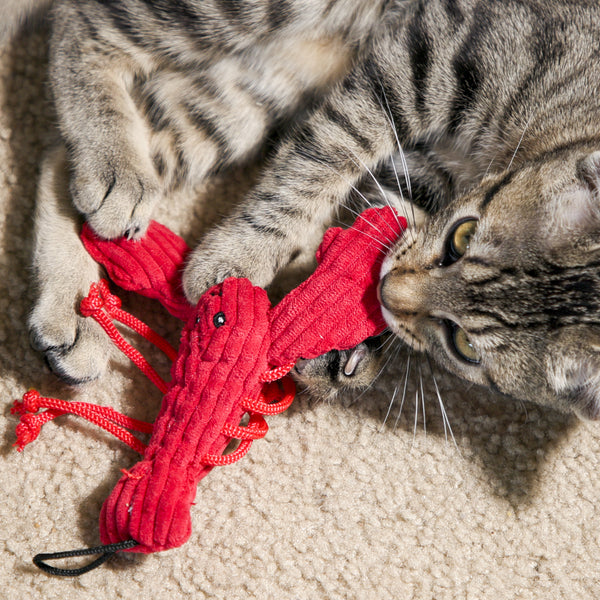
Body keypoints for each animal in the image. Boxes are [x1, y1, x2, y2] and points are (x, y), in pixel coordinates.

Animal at [7, 0, 600, 420]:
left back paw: (75, 304)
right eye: (462, 236)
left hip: (250, 94)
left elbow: (382, 222)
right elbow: (327, 153)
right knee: (84, 22)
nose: (392, 295)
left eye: (465, 348)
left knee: (59, 153)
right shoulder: (432, 51)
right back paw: (112, 168)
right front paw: (238, 258)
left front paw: (345, 335)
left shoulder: (426, 168)